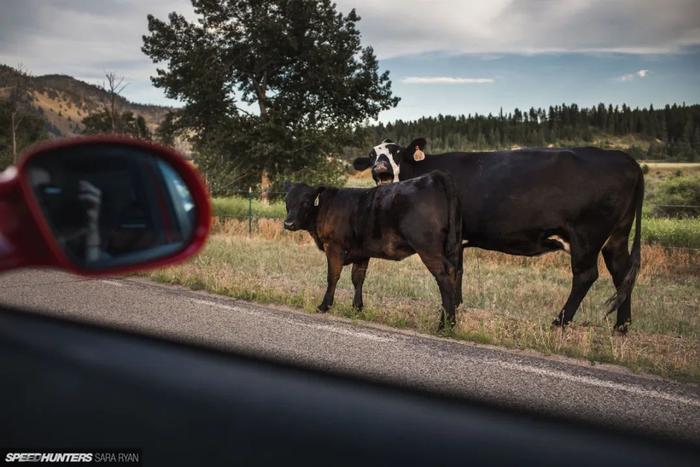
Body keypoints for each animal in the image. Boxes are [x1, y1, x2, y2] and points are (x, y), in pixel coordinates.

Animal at [282, 171, 462, 330]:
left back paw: (443, 325)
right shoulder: (362, 252)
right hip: (452, 247)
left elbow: (333, 277)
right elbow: (358, 279)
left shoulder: (334, 247)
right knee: (455, 272)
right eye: (286, 201)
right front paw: (357, 308)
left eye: (306, 201)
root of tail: (434, 176)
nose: (288, 224)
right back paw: (451, 323)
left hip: (428, 248)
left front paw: (324, 306)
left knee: (444, 276)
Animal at [356, 139, 644, 332]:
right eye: (371, 155)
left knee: (586, 275)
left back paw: (558, 323)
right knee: (620, 270)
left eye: (395, 152)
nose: (380, 167)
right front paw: (458, 306)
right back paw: (621, 327)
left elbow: (452, 271)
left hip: (586, 235)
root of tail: (625, 159)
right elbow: (458, 271)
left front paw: (451, 313)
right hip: (616, 236)